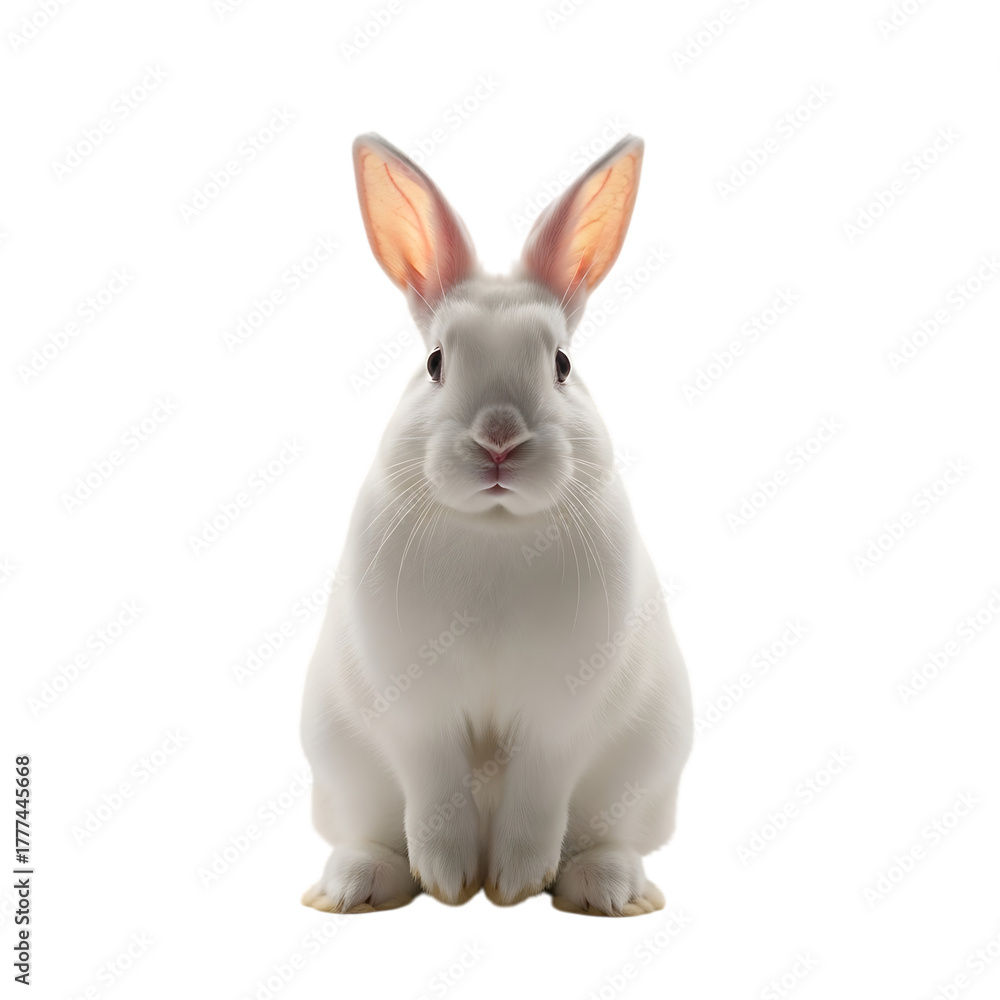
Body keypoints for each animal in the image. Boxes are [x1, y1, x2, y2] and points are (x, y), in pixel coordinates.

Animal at [300, 132, 692, 917]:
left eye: (563, 363)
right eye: (435, 362)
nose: (500, 440)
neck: (496, 529)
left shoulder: (558, 720)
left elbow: (536, 801)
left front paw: (511, 885)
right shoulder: (417, 713)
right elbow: (435, 797)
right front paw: (452, 884)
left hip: (644, 776)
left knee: (611, 839)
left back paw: (608, 891)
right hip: (343, 768)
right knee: (369, 834)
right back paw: (354, 886)